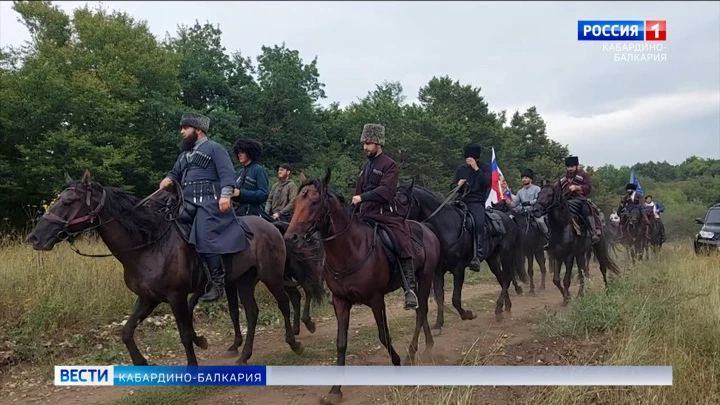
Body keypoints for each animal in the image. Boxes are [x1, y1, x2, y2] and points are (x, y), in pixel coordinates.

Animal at [27, 170, 320, 366]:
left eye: (68, 202)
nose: (35, 238)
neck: (148, 244)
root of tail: (272, 226)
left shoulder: (176, 296)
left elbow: (184, 332)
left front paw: (192, 366)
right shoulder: (148, 298)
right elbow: (127, 331)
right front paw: (141, 362)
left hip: (271, 276)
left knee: (286, 302)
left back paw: (295, 342)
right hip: (245, 280)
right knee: (252, 312)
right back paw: (245, 355)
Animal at [284, 170, 442, 404]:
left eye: (314, 202)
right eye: (296, 202)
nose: (290, 237)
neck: (350, 249)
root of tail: (426, 229)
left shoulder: (376, 300)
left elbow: (383, 335)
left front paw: (397, 363)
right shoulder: (340, 302)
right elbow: (341, 342)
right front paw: (335, 389)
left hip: (425, 278)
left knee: (421, 311)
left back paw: (411, 353)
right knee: (421, 313)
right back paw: (427, 346)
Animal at [396, 183, 524, 326]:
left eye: (405, 201)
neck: (445, 227)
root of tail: (509, 219)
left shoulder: (459, 268)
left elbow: (455, 299)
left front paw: (467, 314)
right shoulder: (438, 271)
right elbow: (439, 297)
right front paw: (438, 324)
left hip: (505, 254)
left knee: (507, 278)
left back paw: (499, 308)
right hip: (492, 259)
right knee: (502, 278)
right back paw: (505, 308)